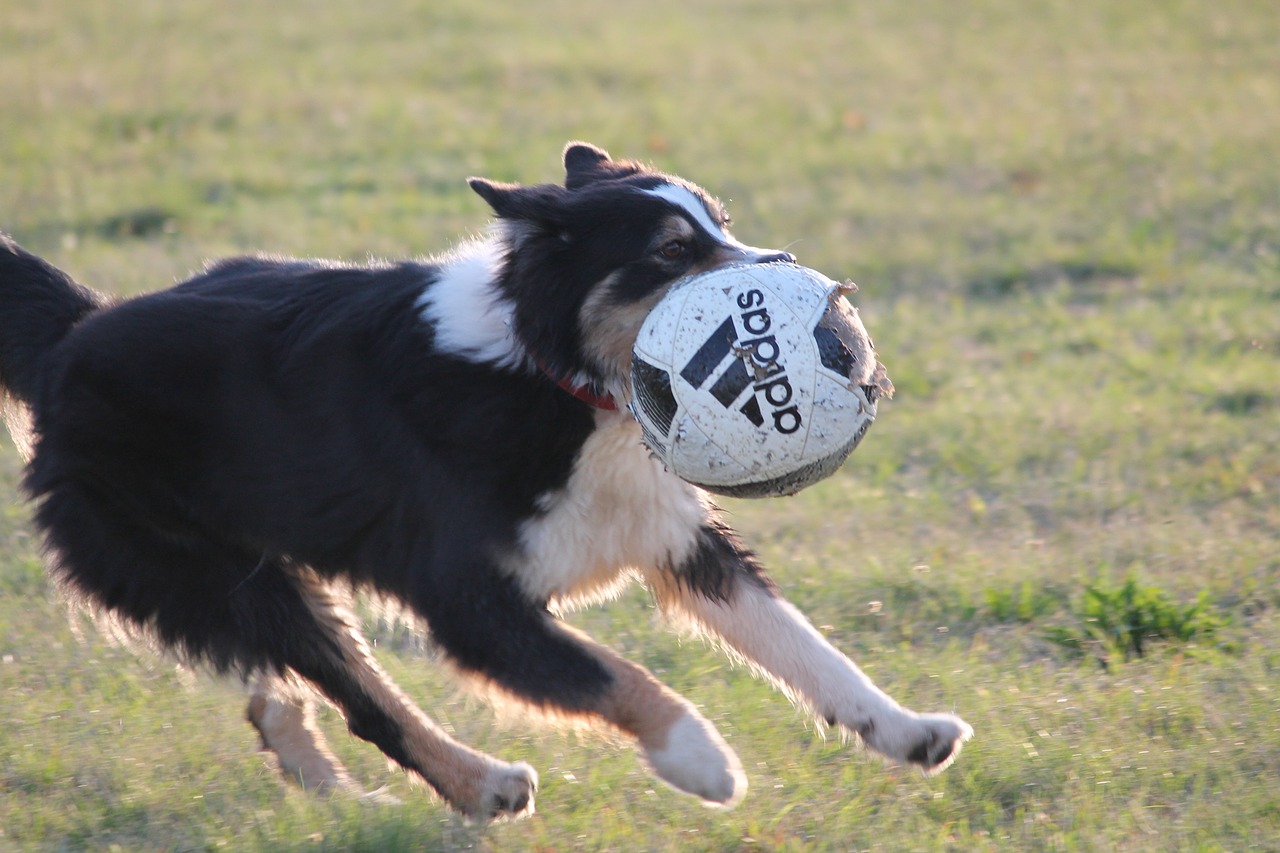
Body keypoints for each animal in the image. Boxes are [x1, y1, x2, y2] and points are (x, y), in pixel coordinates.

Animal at [0, 144, 962, 819]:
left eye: (721, 222)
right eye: (672, 249)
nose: (790, 269)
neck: (560, 380)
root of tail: (72, 337)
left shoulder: (676, 535)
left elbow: (806, 647)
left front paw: (907, 730)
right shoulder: (465, 599)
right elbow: (615, 675)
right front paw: (701, 760)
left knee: (279, 699)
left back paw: (349, 804)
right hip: (210, 570)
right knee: (359, 695)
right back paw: (482, 786)